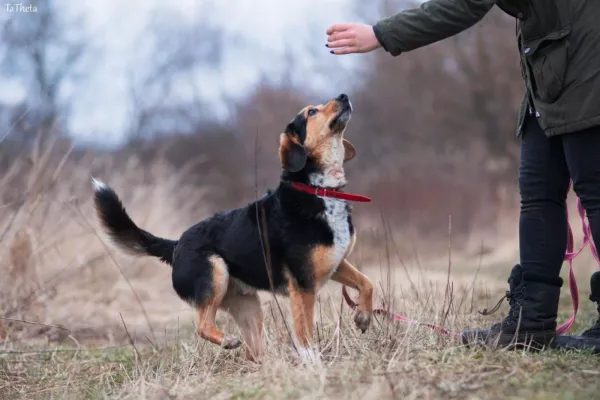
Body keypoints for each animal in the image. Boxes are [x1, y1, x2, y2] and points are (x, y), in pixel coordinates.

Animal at [91, 94, 372, 362]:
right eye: (311, 111)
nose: (344, 96)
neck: (319, 189)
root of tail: (176, 245)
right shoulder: (302, 284)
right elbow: (304, 332)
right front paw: (312, 362)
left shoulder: (335, 264)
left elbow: (367, 283)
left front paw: (363, 317)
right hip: (215, 274)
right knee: (203, 326)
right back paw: (227, 340)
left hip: (249, 307)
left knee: (252, 352)